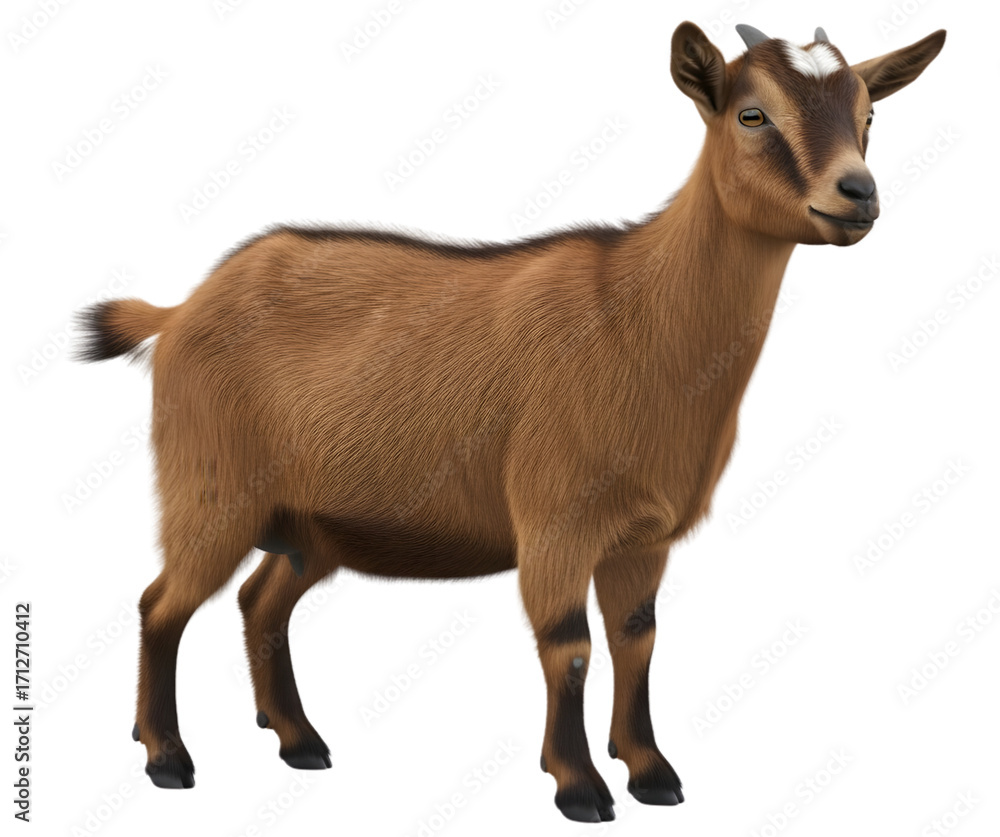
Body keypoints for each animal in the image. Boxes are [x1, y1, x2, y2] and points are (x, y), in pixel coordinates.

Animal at [77, 21, 945, 823]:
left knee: (260, 602)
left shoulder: (643, 535)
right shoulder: (556, 521)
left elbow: (637, 637)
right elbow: (569, 645)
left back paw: (299, 740)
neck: (639, 318)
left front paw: (651, 771)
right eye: (752, 114)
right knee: (162, 603)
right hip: (210, 488)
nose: (857, 193)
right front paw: (580, 785)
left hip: (312, 522)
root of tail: (181, 308)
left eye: (870, 114)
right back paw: (167, 756)